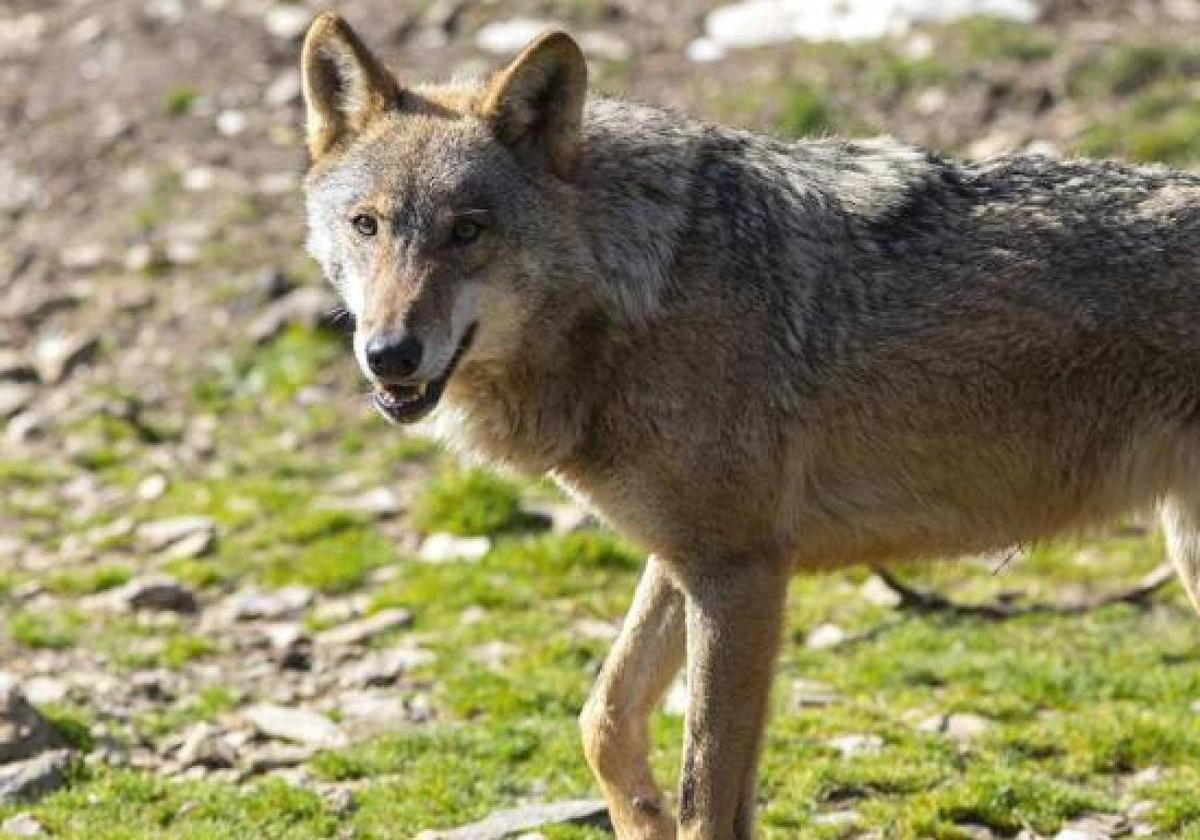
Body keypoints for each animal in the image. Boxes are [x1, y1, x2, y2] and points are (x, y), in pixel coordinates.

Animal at [297, 13, 1200, 840]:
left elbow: (705, 800)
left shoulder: (741, 571)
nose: (389, 354)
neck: (642, 294)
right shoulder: (688, 554)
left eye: (468, 231)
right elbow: (604, 721)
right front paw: (640, 816)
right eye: (367, 225)